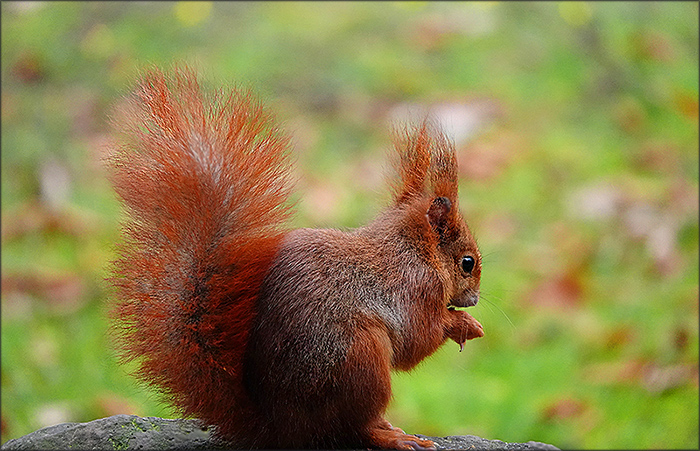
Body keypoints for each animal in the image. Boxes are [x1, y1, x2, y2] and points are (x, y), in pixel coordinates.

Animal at [107, 66, 484, 450]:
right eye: (467, 263)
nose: (475, 299)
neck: (414, 248)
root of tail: (278, 427)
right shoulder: (415, 288)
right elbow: (416, 339)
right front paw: (463, 324)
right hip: (360, 359)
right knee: (353, 428)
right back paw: (392, 437)